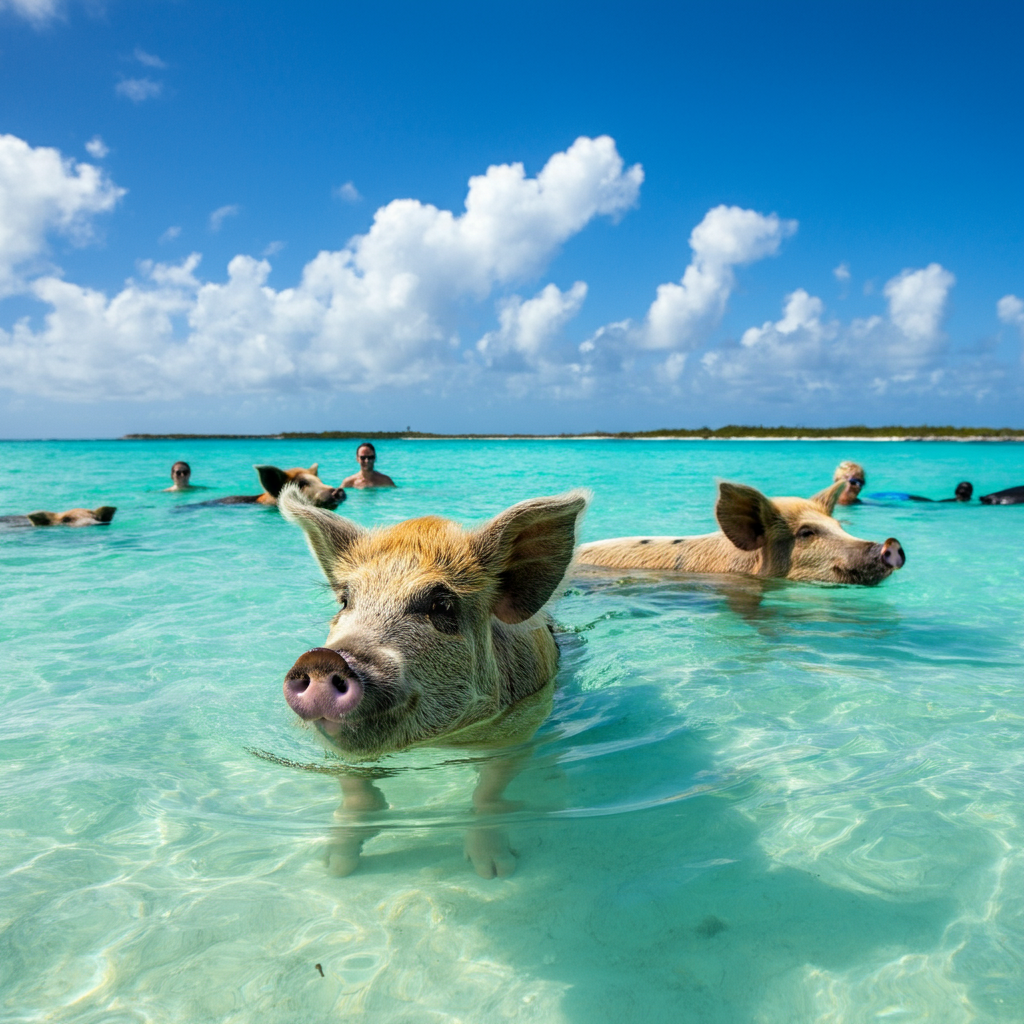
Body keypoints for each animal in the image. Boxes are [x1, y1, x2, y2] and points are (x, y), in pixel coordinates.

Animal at [278, 484, 589, 878]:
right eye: (345, 601)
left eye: (442, 607)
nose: (321, 658)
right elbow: (356, 793)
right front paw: (333, 866)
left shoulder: (520, 728)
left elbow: (490, 793)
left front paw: (494, 870)